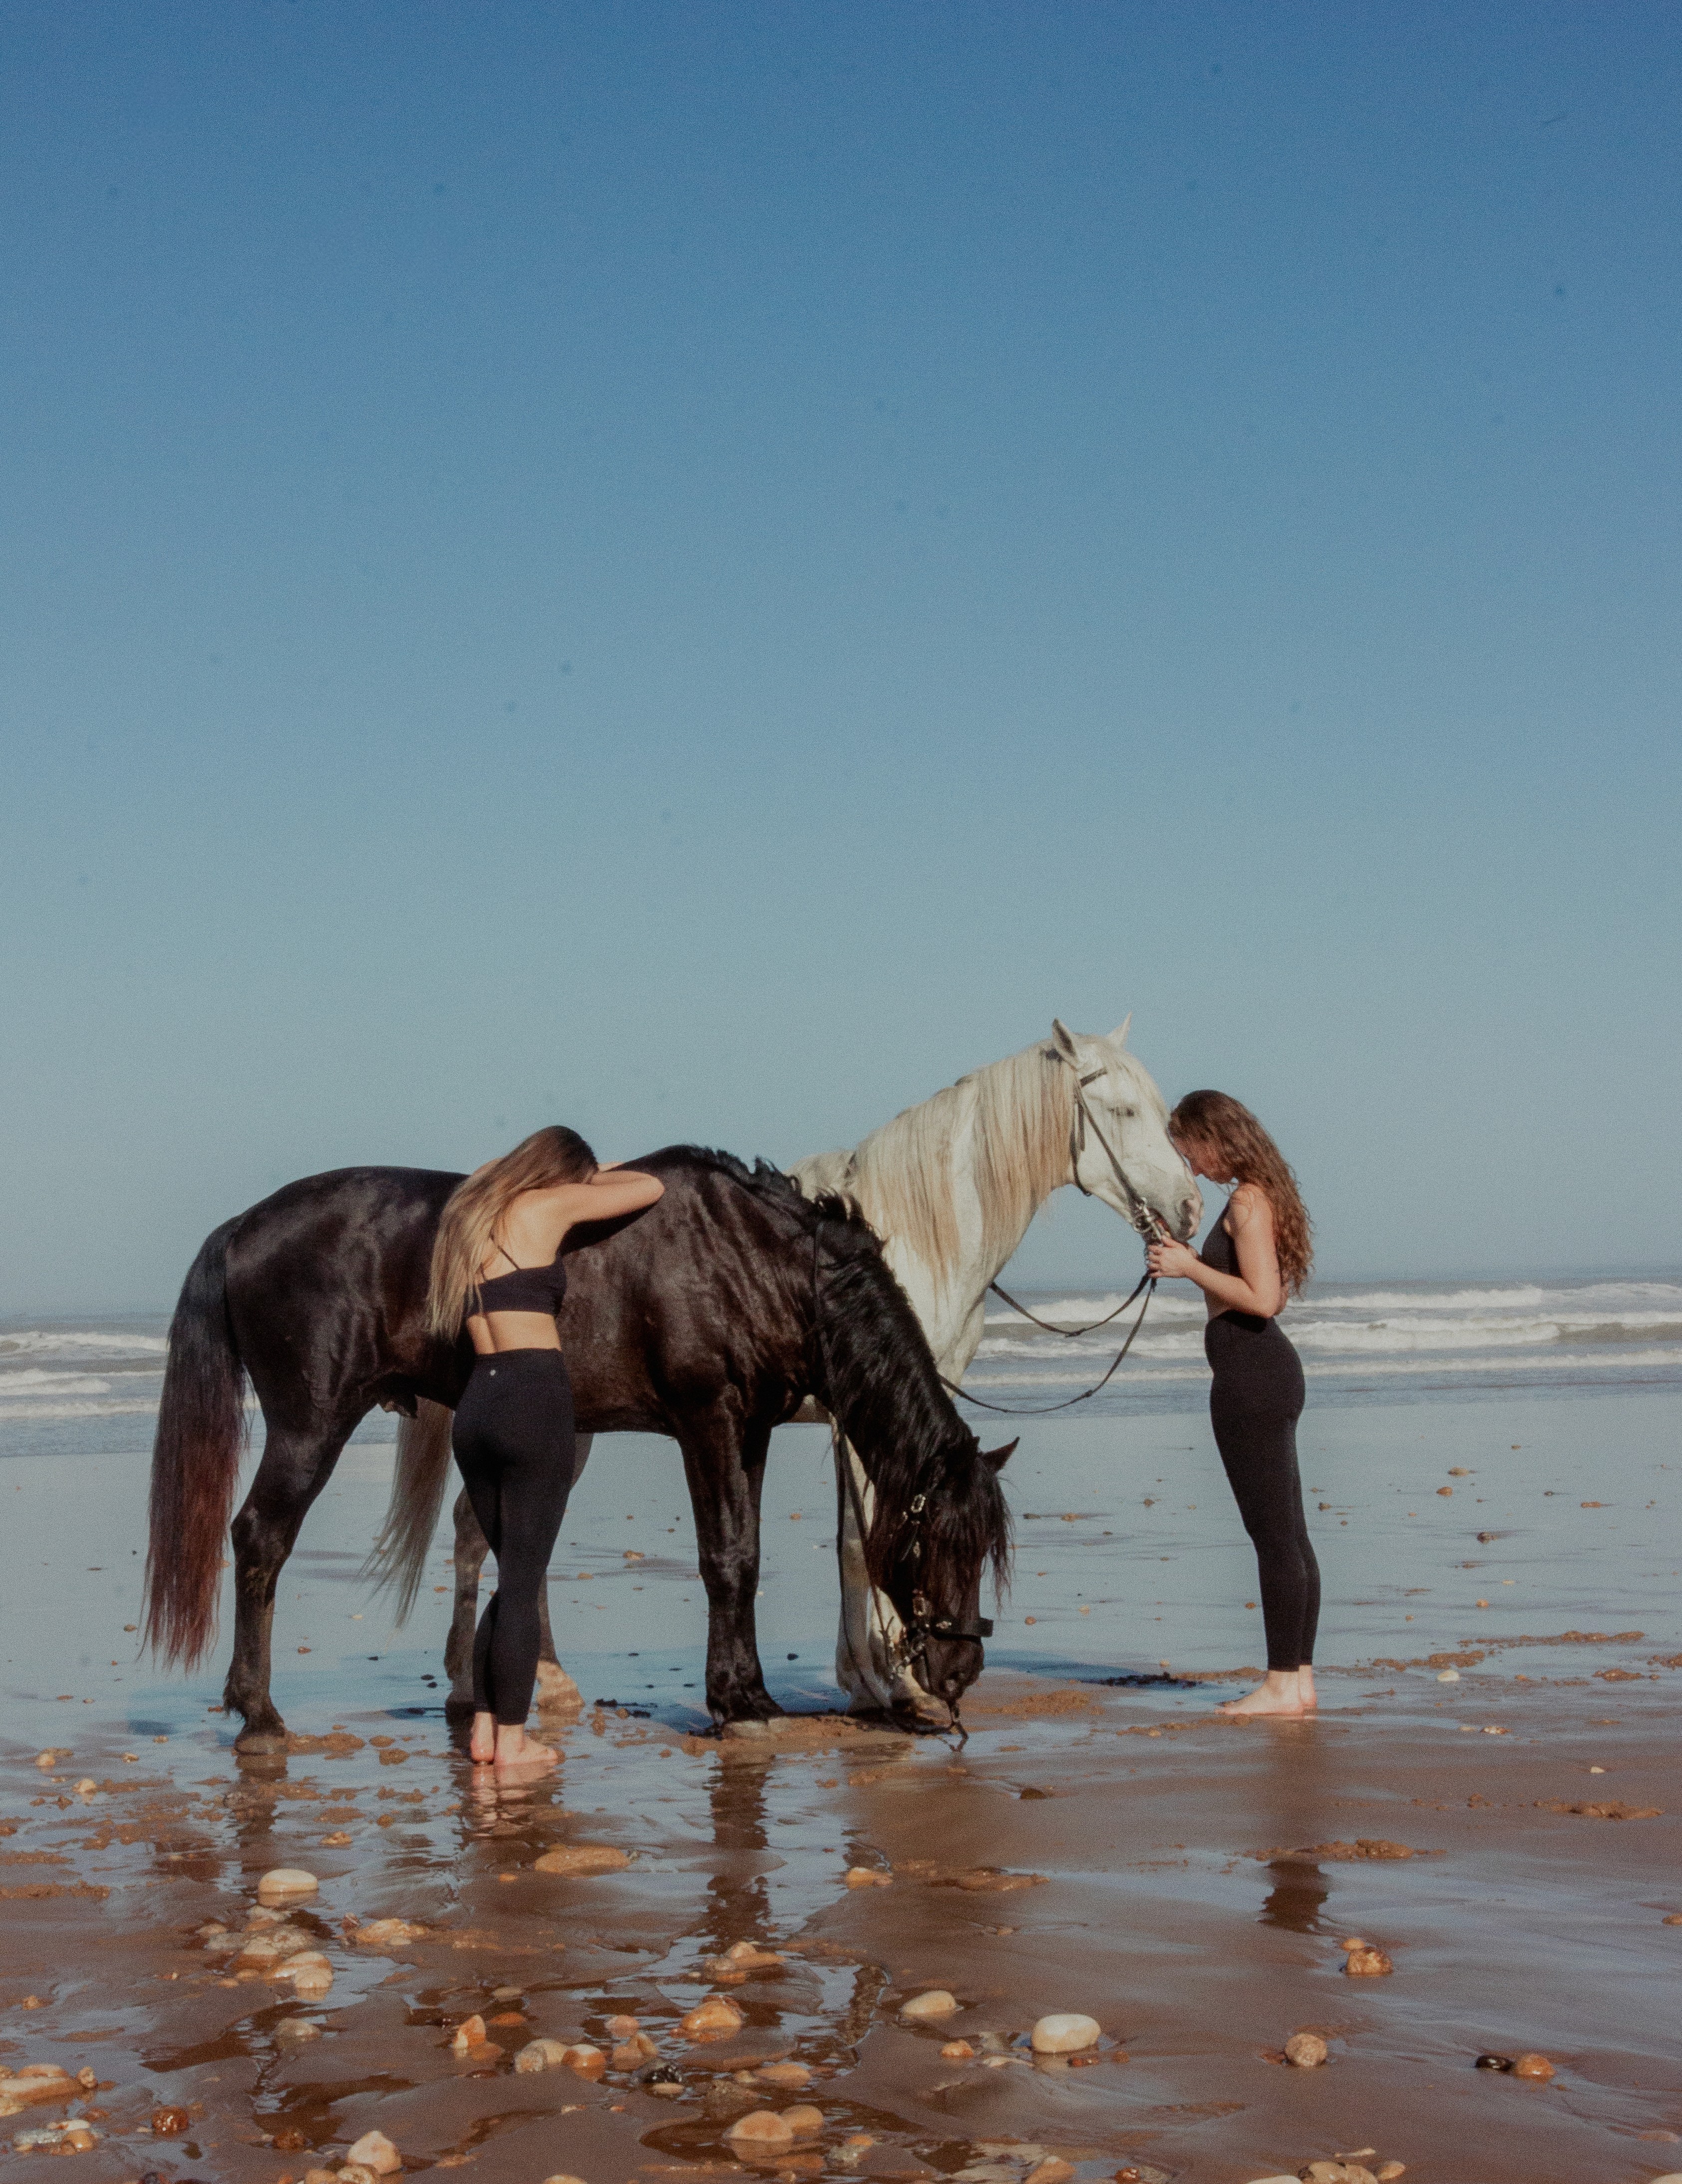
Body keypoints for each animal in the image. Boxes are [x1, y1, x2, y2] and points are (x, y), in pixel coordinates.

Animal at [142, 1147, 1014, 1749]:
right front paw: (736, 1704)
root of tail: (243, 1228)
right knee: (261, 1539)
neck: (757, 1259)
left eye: (983, 1547)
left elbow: (748, 1555)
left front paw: (750, 1694)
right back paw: (259, 1713)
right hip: (310, 1426)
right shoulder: (708, 1420)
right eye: (939, 1539)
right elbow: (726, 1558)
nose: (962, 1670)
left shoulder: (751, 1431)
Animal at [439, 1017, 1200, 1715]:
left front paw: (875, 1675)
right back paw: (499, 1681)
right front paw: (887, 1679)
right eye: (1123, 1111)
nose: (1189, 1208)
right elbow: (860, 1543)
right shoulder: (852, 1419)